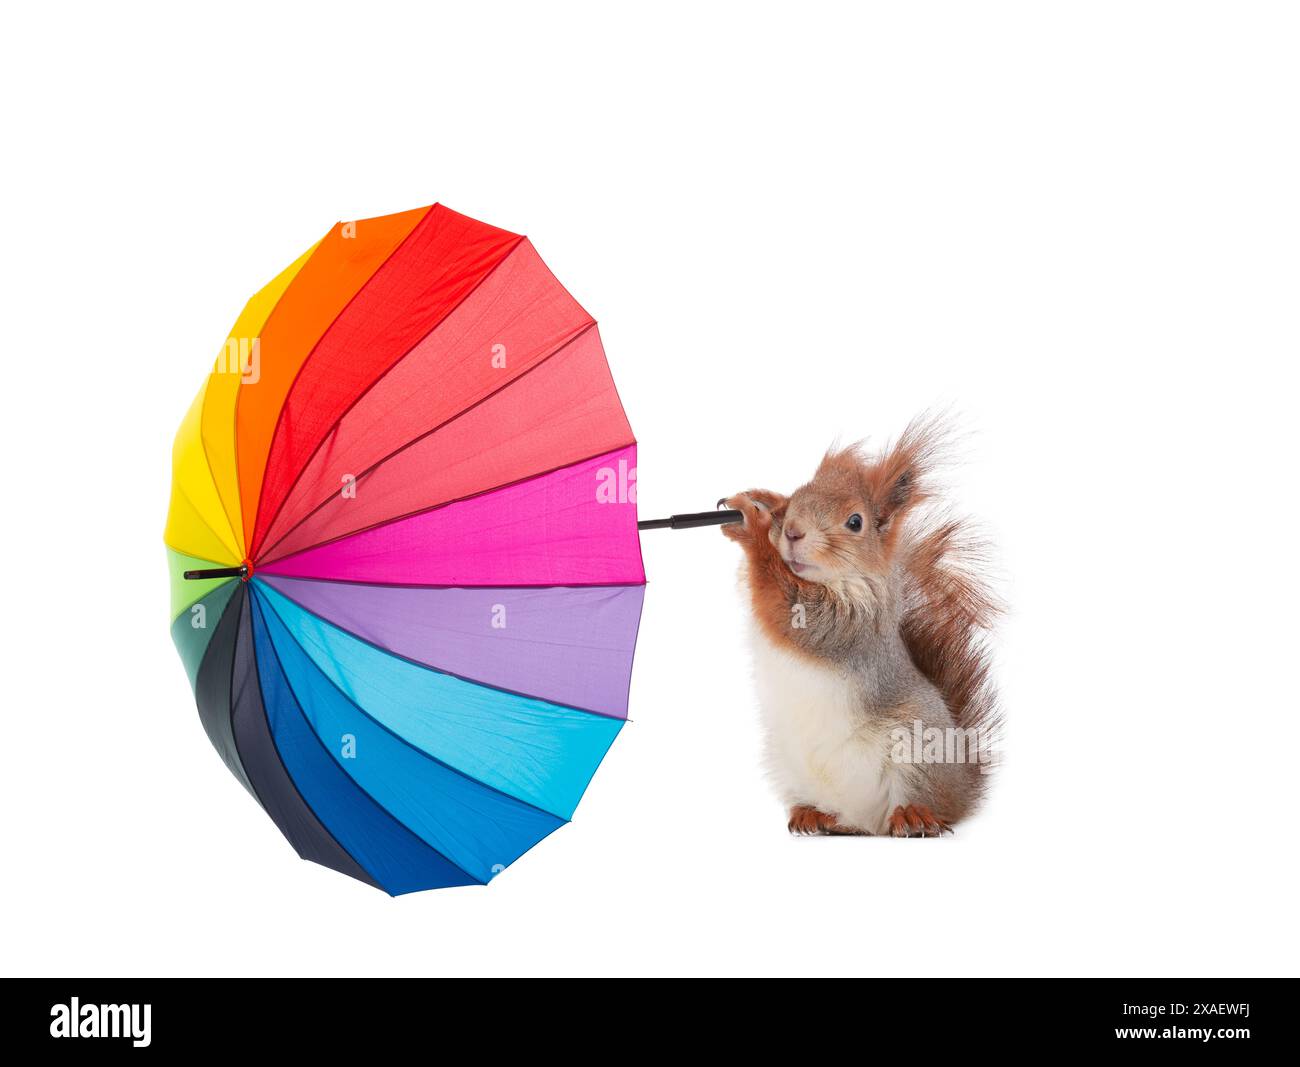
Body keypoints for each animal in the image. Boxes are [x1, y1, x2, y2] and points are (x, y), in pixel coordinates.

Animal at [721, 416, 1000, 837]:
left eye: (856, 522)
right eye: (796, 497)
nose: (792, 531)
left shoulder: (851, 624)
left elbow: (792, 610)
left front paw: (754, 527)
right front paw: (761, 502)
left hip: (918, 749)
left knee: (932, 806)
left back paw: (913, 816)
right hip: (787, 763)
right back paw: (814, 815)